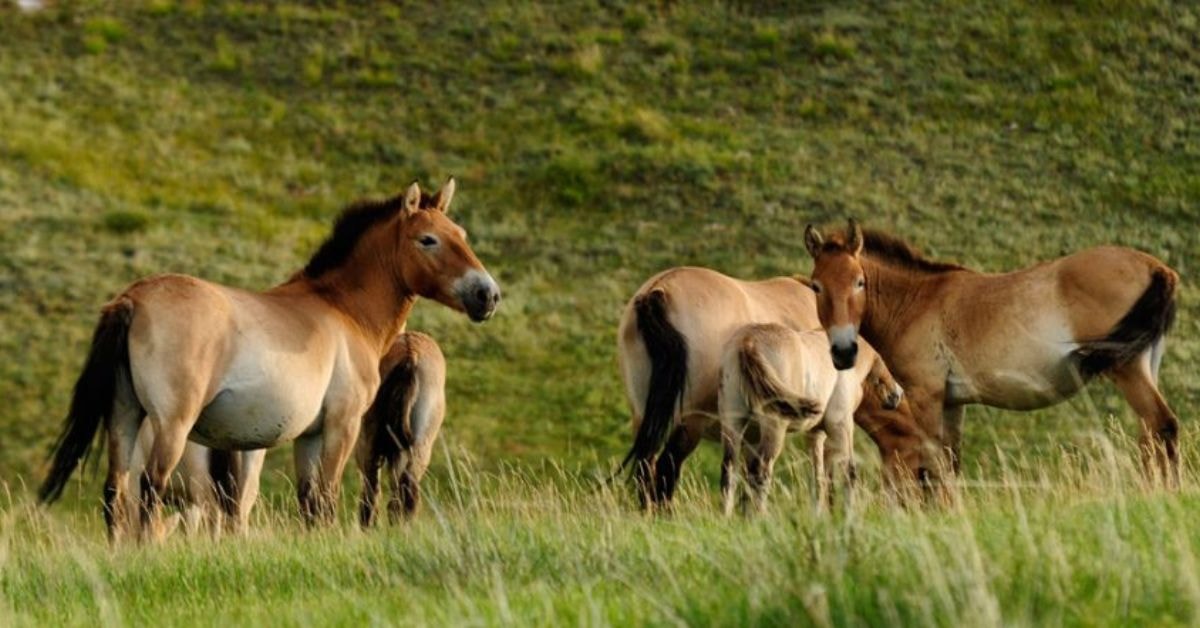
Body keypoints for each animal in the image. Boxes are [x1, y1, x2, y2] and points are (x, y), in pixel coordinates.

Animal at [36, 176, 496, 540]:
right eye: (428, 240)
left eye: (461, 233)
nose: (487, 294)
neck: (342, 308)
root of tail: (133, 299)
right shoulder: (342, 426)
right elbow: (328, 499)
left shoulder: (309, 436)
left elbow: (310, 505)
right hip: (172, 425)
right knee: (150, 491)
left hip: (124, 416)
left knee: (115, 493)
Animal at [715, 324, 902, 516]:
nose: (896, 395)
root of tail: (748, 342)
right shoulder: (841, 424)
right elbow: (849, 471)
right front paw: (849, 514)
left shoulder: (816, 433)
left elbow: (818, 476)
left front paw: (820, 515)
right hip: (774, 427)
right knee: (761, 470)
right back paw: (761, 517)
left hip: (733, 423)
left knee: (729, 470)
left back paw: (728, 517)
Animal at [801, 220, 1176, 482]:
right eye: (817, 286)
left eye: (859, 282)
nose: (844, 351)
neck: (917, 302)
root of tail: (1157, 267)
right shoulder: (952, 403)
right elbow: (949, 464)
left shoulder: (926, 396)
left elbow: (932, 465)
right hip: (1145, 366)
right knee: (1151, 436)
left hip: (1127, 369)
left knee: (1162, 425)